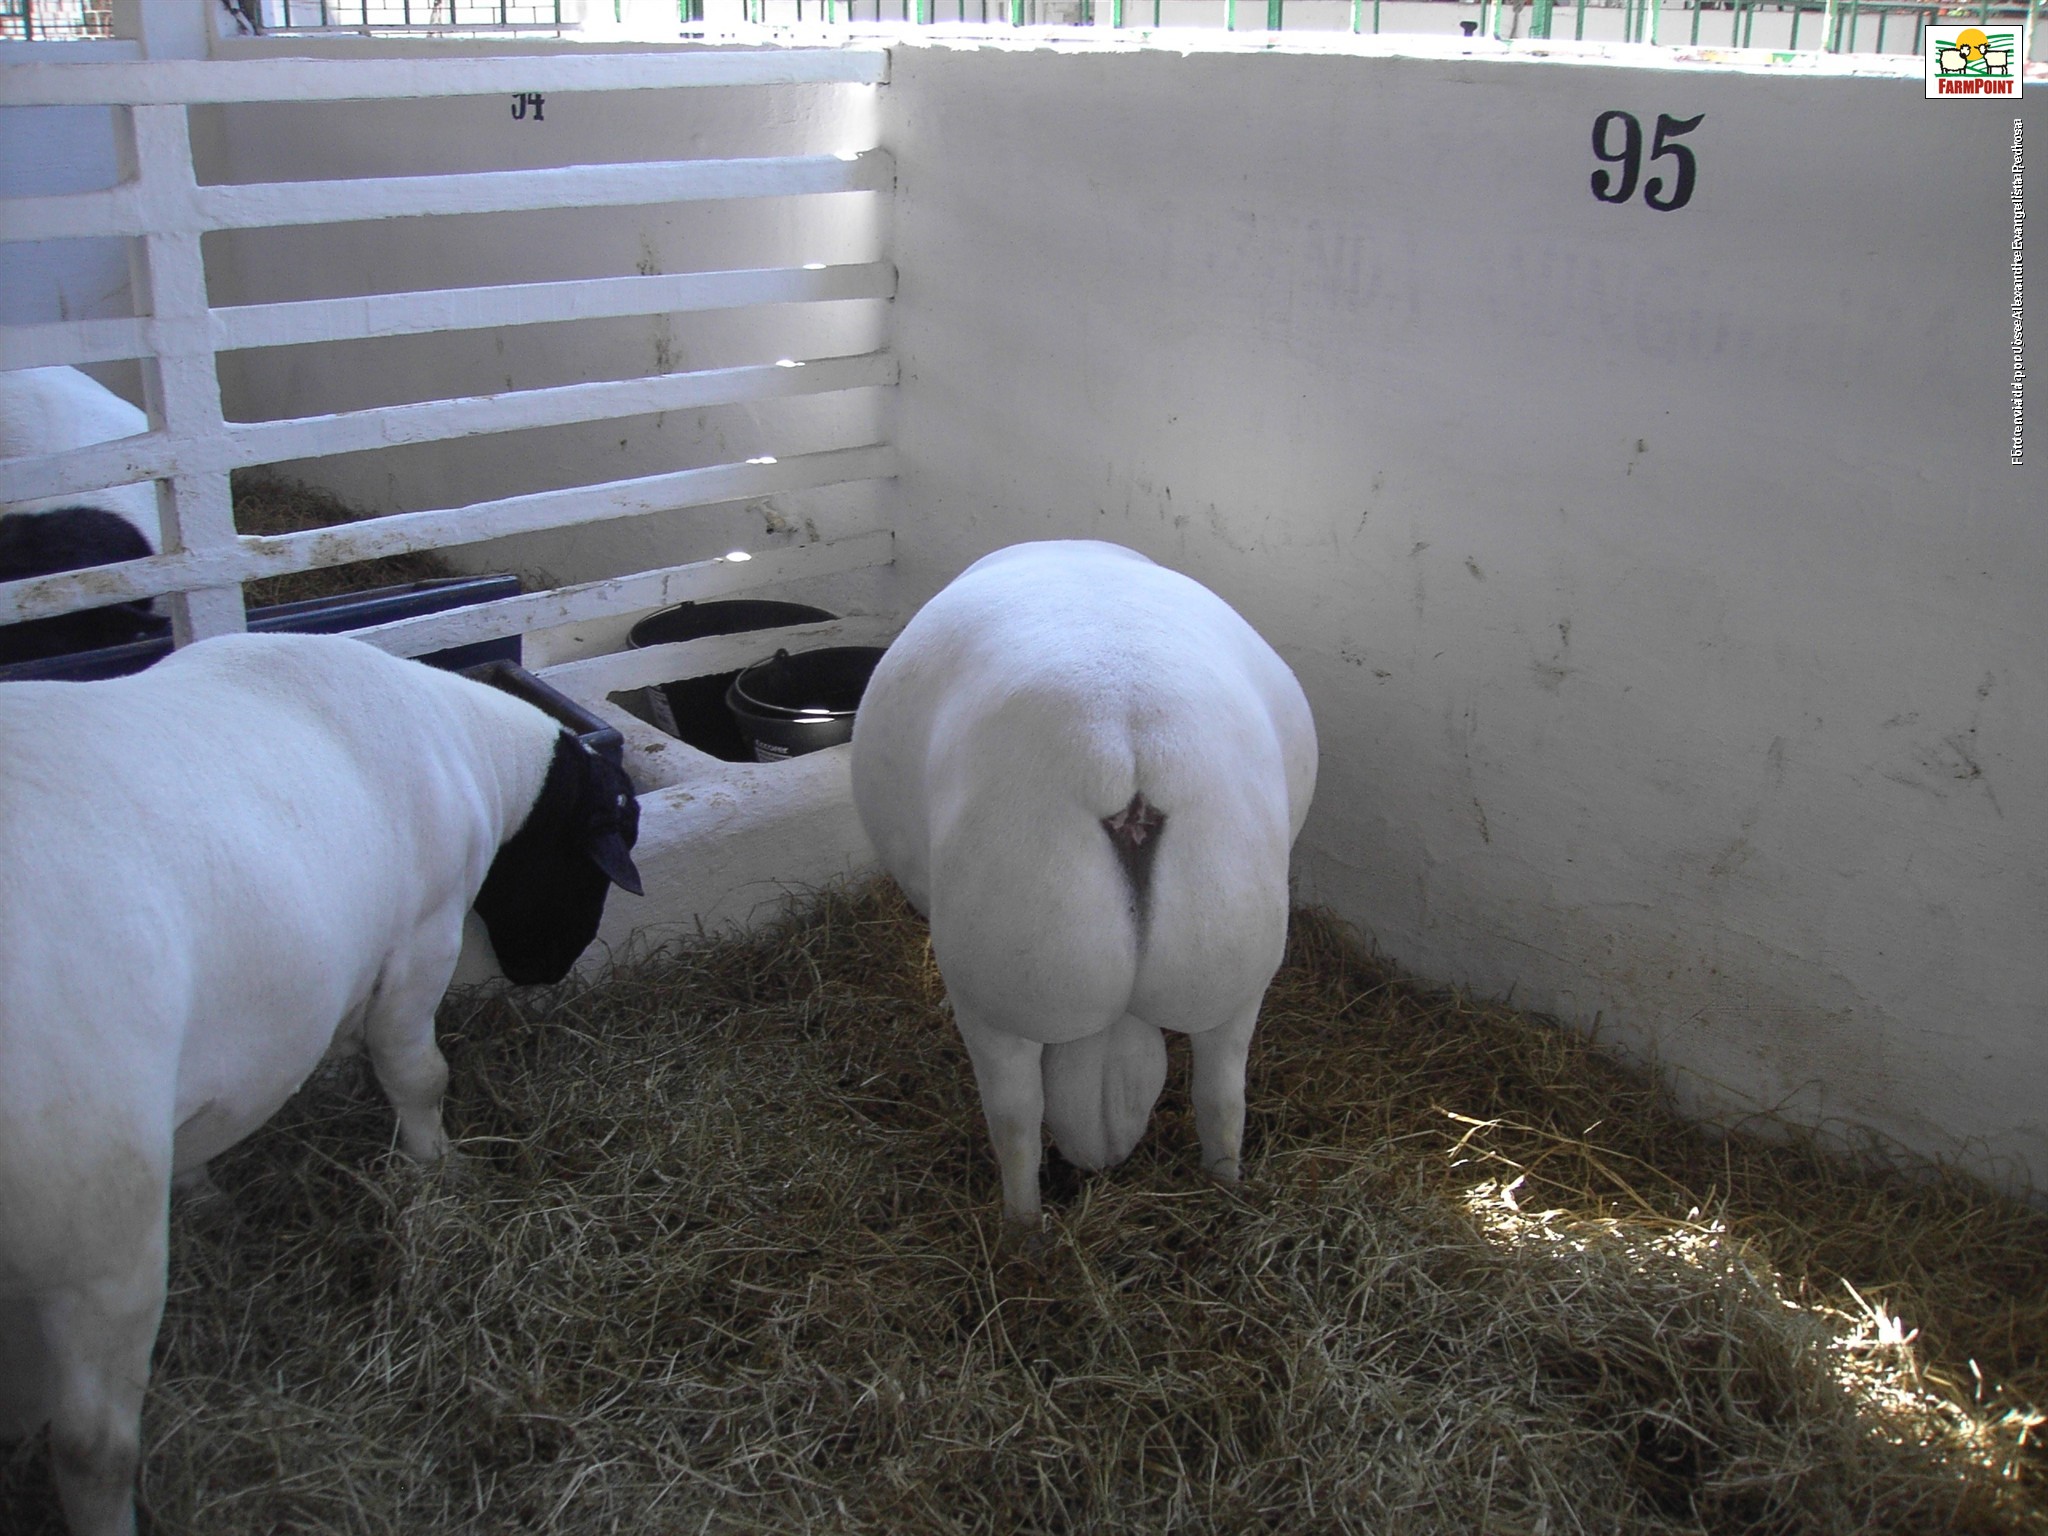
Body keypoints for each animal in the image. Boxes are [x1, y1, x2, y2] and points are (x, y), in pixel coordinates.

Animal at [0, 631, 644, 1536]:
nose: (544, 974)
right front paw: (437, 1167)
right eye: (592, 861)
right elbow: (415, 1071)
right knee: (94, 1447)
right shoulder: (423, 938)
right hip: (98, 1225)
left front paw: (217, 1189)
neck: (476, 756)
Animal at [850, 540, 1318, 1235]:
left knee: (1015, 1121)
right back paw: (1224, 1187)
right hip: (1232, 965)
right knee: (1221, 1095)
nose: (1101, 1162)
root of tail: (1129, 748)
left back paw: (1022, 1231)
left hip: (1000, 985)